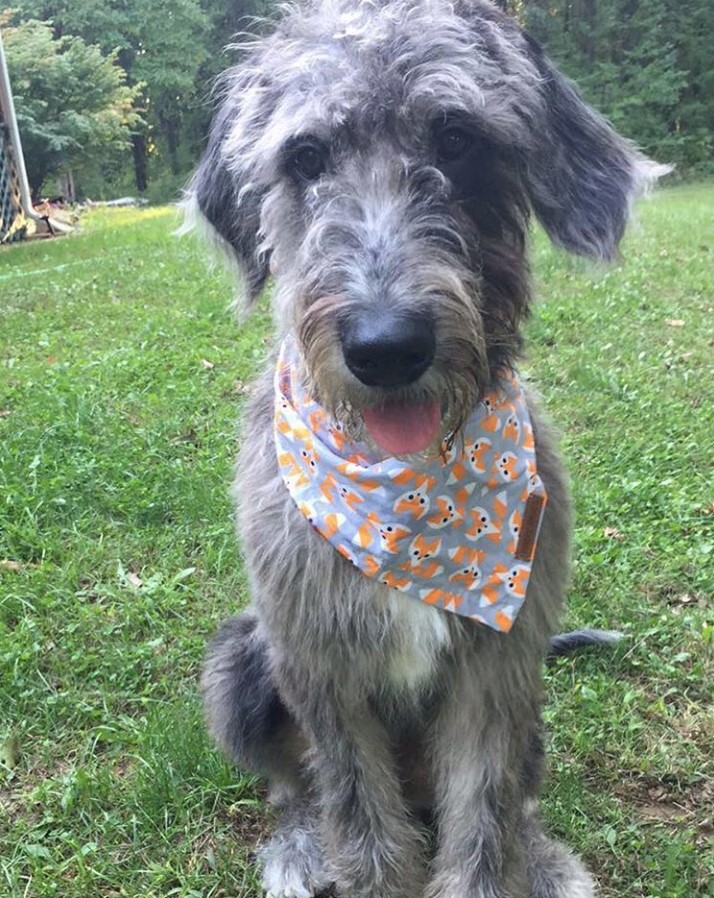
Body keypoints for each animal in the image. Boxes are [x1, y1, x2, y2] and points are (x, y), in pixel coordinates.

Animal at [189, 1, 660, 896]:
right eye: (306, 156)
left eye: (457, 139)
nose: (386, 346)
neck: (405, 485)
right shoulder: (318, 665)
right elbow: (358, 814)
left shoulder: (498, 670)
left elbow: (484, 813)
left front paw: (503, 865)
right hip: (240, 663)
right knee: (292, 786)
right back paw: (298, 846)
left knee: (513, 800)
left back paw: (543, 860)